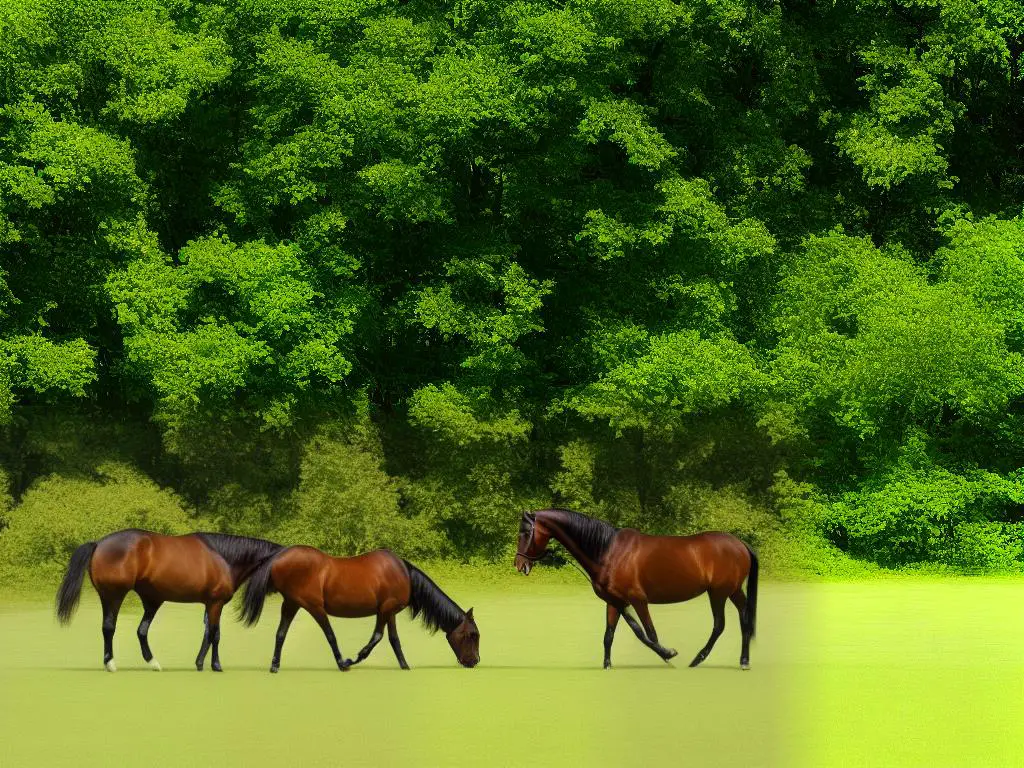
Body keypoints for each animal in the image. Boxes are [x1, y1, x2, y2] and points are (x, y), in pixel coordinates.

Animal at [55, 528, 280, 671]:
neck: (224, 558)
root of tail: (98, 543)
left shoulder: (210, 604)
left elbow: (211, 633)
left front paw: (207, 664)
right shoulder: (216, 603)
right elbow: (213, 634)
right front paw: (209, 665)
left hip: (148, 601)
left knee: (140, 631)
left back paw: (153, 663)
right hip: (114, 596)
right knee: (109, 627)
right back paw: (110, 664)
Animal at [239, 548, 479, 671]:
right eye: (472, 635)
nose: (474, 661)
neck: (403, 574)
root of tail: (278, 557)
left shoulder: (389, 612)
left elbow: (393, 639)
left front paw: (404, 665)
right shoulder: (386, 609)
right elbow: (378, 637)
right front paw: (355, 659)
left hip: (291, 603)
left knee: (281, 633)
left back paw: (274, 666)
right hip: (313, 606)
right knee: (329, 634)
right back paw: (341, 663)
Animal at [516, 514, 757, 671]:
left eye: (526, 533)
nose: (519, 564)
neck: (608, 551)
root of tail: (740, 544)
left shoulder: (638, 600)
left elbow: (647, 633)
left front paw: (668, 655)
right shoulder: (614, 601)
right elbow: (612, 634)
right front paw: (607, 665)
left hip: (718, 593)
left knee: (719, 625)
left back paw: (698, 659)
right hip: (733, 591)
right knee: (745, 619)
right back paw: (744, 661)